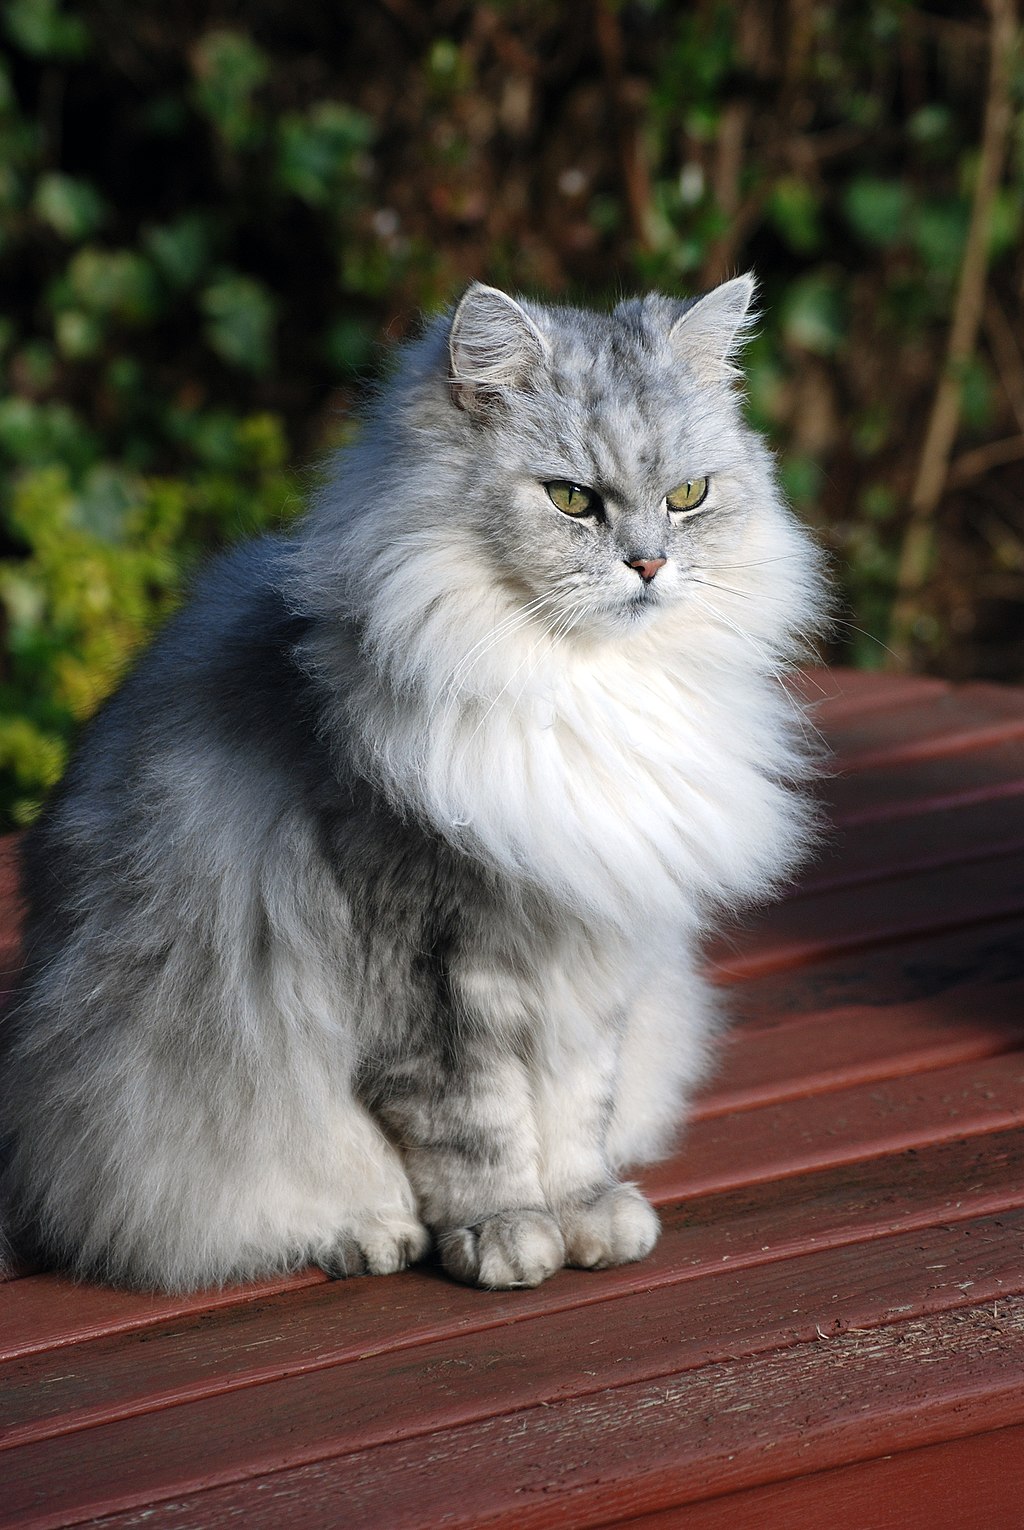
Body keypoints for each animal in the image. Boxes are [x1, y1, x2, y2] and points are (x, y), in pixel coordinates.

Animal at [0, 275, 826, 1291]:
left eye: (688, 496)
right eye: (571, 500)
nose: (648, 565)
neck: (572, 688)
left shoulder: (589, 959)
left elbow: (576, 1113)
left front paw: (587, 1215)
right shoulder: (426, 966)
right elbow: (478, 1129)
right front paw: (506, 1235)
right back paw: (373, 1234)